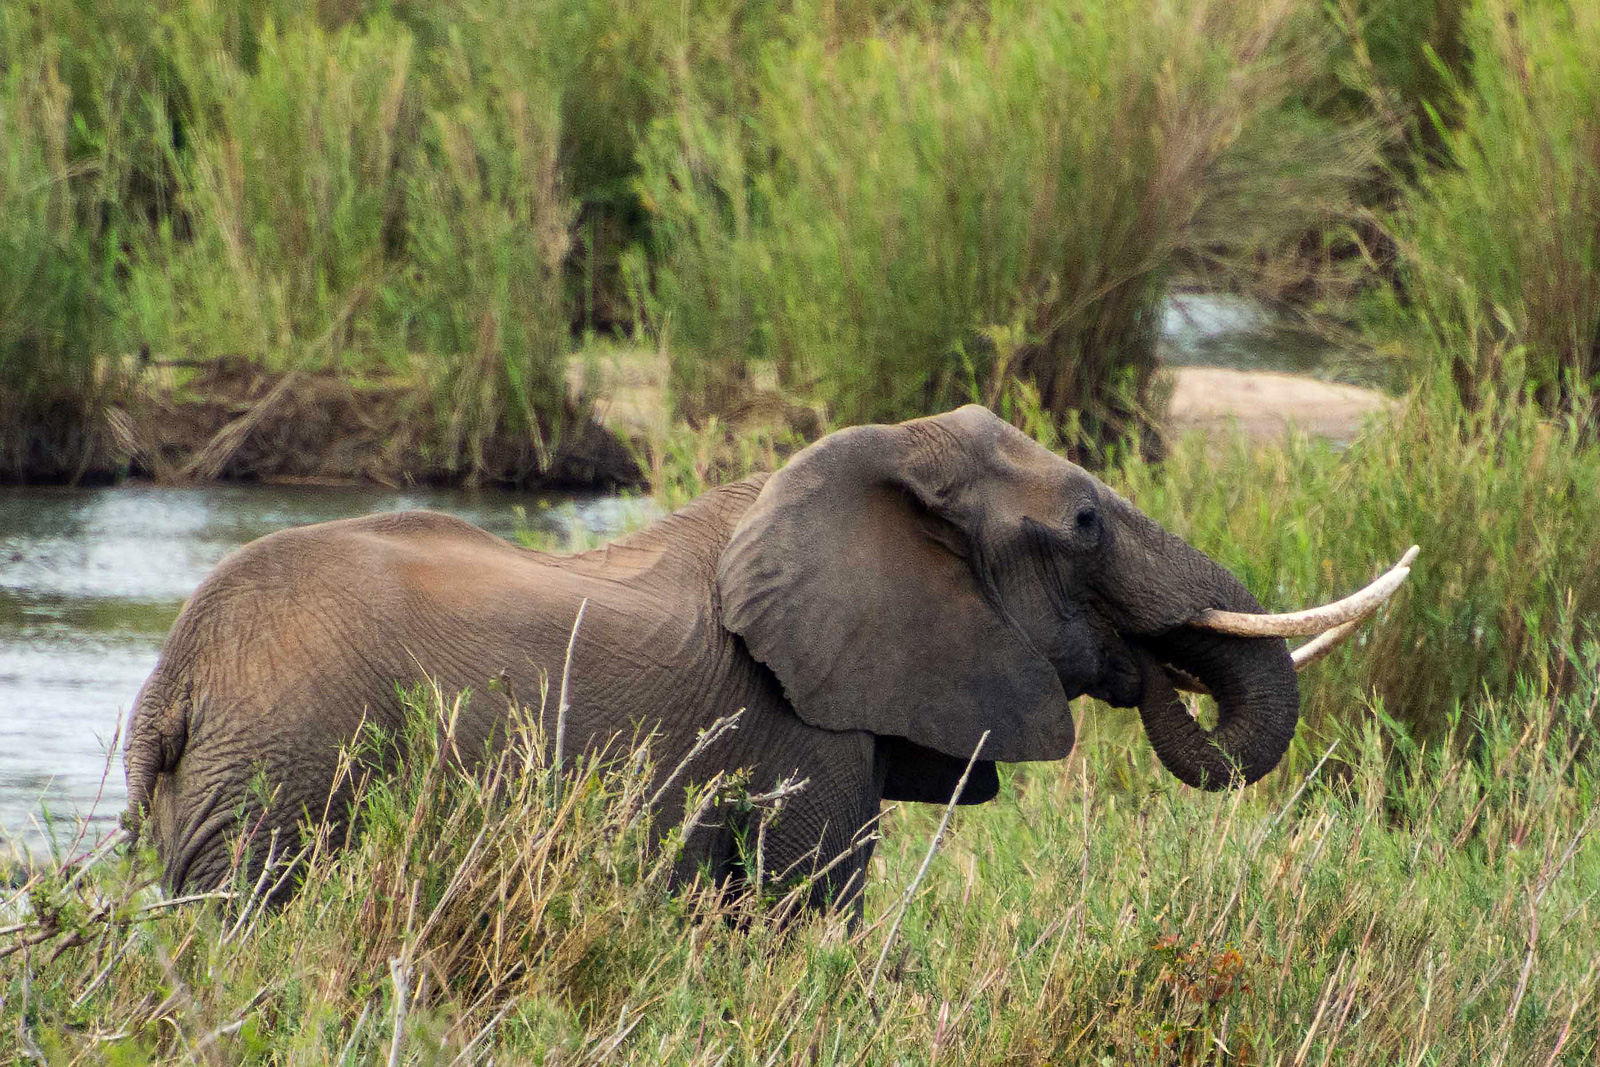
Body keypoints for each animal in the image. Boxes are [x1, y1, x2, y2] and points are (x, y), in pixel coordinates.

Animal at [118, 406, 1408, 908]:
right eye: (1086, 521)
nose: (1149, 666)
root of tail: (171, 687)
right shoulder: (794, 729)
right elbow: (805, 913)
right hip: (280, 783)